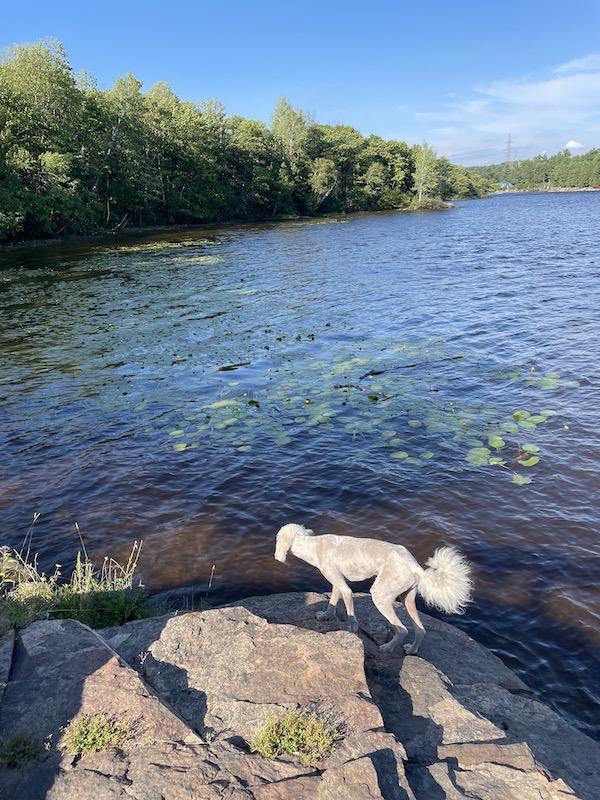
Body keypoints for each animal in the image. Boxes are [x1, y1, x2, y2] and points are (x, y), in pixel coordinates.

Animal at [274, 520, 472, 652]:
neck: (313, 546)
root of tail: (414, 566)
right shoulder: (336, 582)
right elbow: (332, 601)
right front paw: (325, 616)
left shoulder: (345, 588)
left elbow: (349, 610)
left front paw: (352, 629)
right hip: (407, 598)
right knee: (420, 630)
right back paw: (411, 650)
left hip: (380, 595)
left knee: (402, 630)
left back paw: (387, 647)